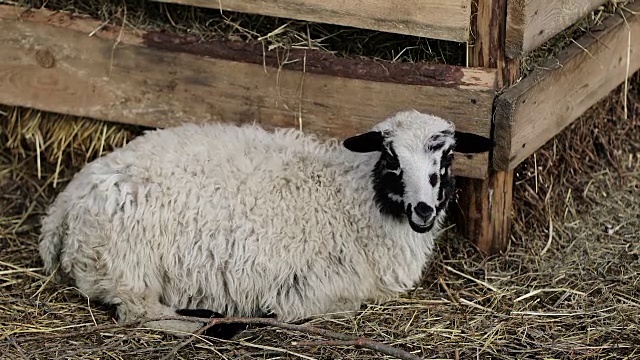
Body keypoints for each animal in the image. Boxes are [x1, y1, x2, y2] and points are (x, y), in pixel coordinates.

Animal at [38, 109, 490, 338]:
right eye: (391, 157)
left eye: (447, 158)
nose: (423, 210)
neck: (351, 195)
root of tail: (64, 204)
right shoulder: (317, 288)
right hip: (126, 266)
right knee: (139, 311)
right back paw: (205, 323)